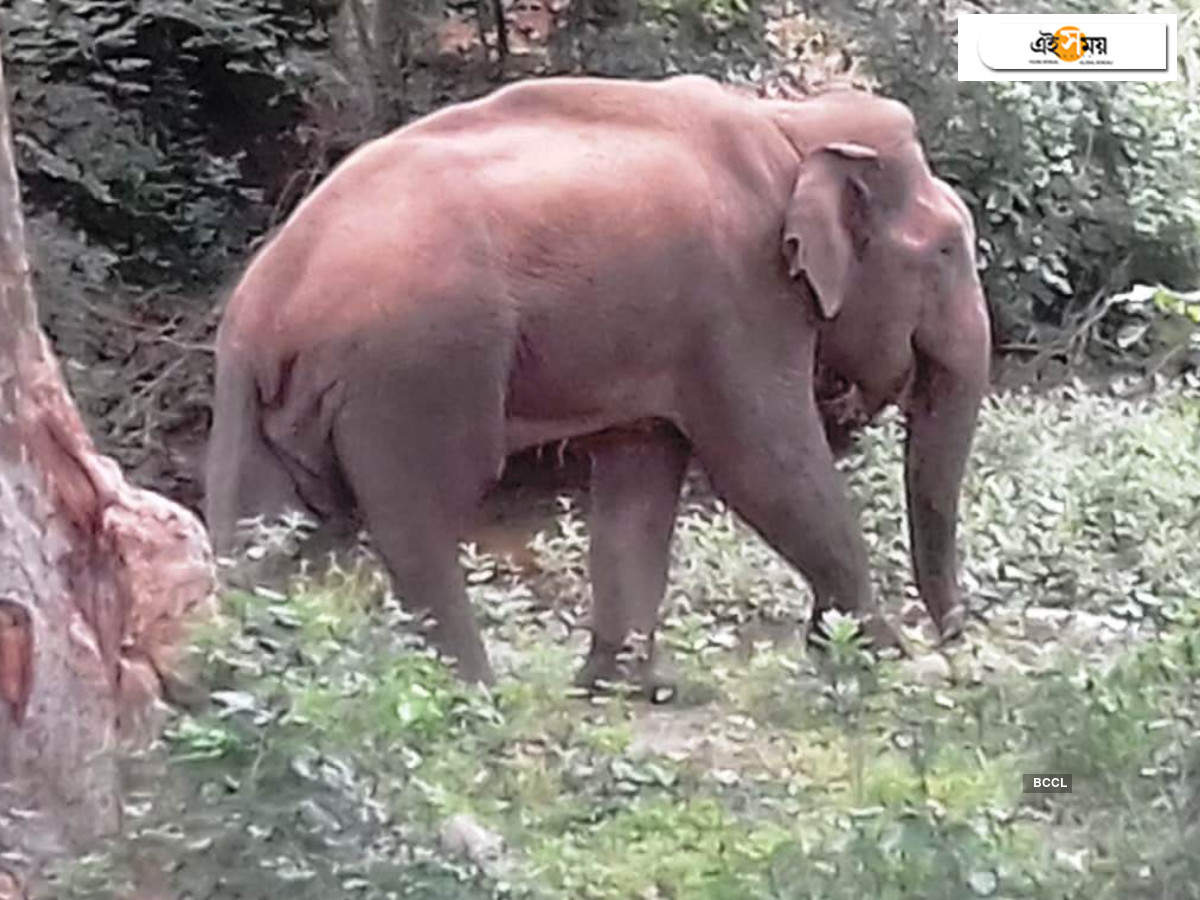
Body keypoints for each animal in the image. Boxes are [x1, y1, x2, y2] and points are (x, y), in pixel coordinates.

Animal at [205, 74, 992, 689]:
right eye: (948, 251)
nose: (954, 642)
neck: (794, 124)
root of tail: (267, 302)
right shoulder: (741, 295)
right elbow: (765, 466)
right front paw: (884, 658)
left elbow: (640, 475)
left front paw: (630, 687)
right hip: (414, 368)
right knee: (419, 517)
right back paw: (474, 699)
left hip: (260, 397)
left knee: (266, 529)